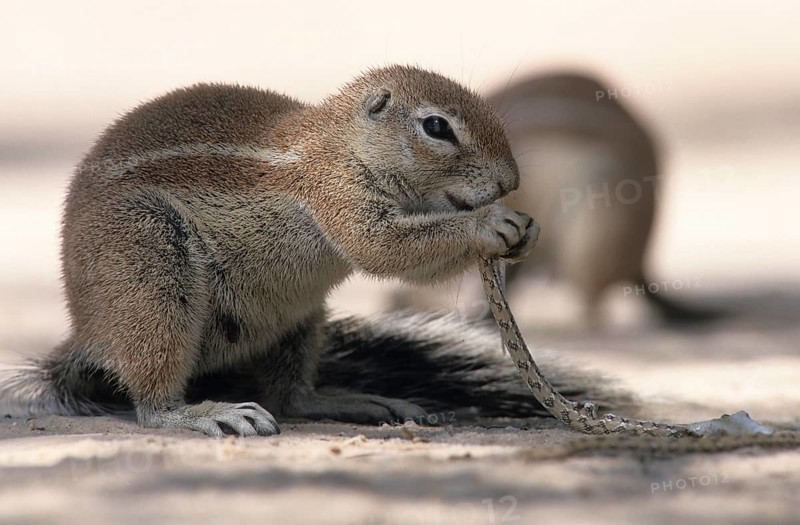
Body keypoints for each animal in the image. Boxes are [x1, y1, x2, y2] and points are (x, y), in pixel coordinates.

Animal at [0, 66, 624, 436]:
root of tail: (88, 338)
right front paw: (490, 222)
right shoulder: (337, 194)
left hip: (297, 320)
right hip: (149, 261)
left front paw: (527, 230)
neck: (342, 144)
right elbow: (384, 248)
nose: (508, 182)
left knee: (291, 398)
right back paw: (206, 412)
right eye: (437, 127)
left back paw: (356, 402)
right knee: (152, 404)